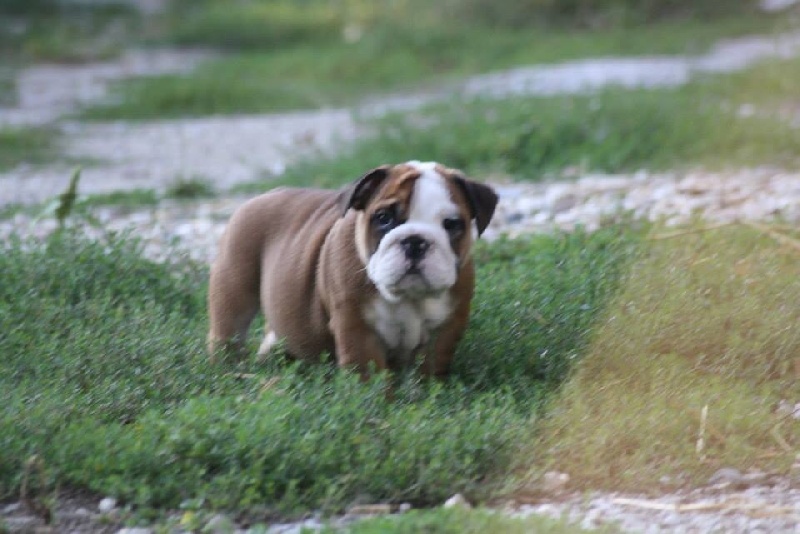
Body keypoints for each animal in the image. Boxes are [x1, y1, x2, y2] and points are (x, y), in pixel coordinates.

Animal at [208, 161, 494, 378]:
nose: (415, 241)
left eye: (452, 224)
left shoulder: (446, 328)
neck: (407, 299)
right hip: (234, 291)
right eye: (383, 218)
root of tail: (261, 197)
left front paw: (429, 392)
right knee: (228, 332)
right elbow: (366, 369)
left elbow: (432, 364)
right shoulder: (356, 327)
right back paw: (227, 370)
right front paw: (376, 401)